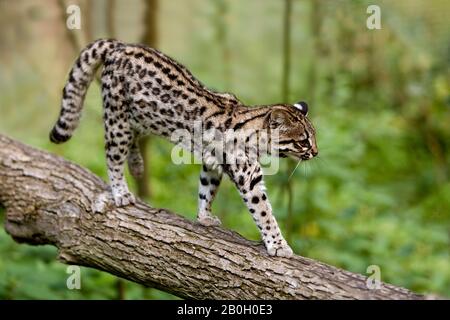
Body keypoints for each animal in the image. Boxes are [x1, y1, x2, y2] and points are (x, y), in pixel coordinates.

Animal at [49, 38, 318, 256]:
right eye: (303, 140)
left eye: (314, 137)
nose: (315, 153)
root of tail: (120, 45)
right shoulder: (248, 177)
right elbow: (264, 212)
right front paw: (278, 244)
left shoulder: (212, 162)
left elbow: (206, 189)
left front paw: (204, 217)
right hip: (117, 119)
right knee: (113, 156)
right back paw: (121, 191)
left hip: (139, 117)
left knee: (133, 139)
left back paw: (136, 165)